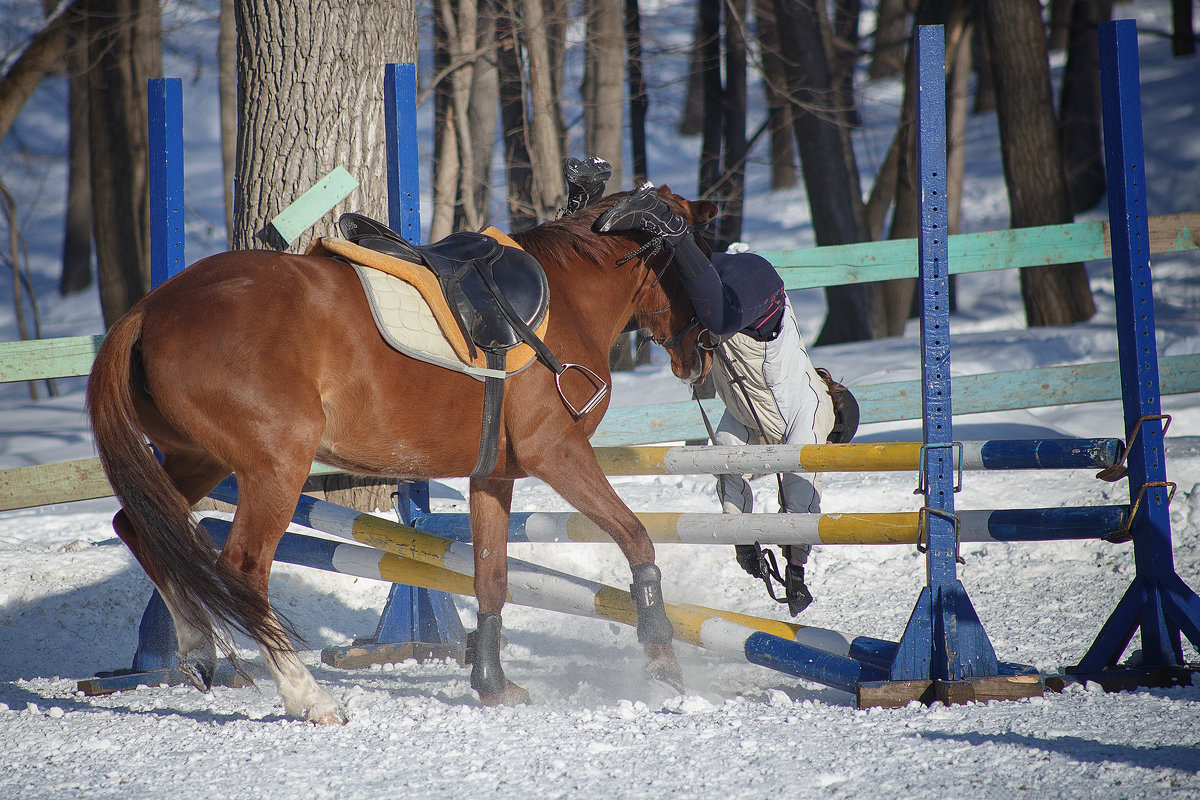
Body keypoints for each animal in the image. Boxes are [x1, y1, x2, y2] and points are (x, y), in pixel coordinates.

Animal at [88, 188, 715, 724]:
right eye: (701, 255)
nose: (703, 355)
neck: (567, 295)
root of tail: (148, 310)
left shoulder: (494, 474)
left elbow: (491, 576)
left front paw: (492, 685)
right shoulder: (556, 453)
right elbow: (636, 538)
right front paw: (662, 662)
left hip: (200, 459)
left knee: (142, 527)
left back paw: (197, 648)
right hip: (276, 467)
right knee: (242, 570)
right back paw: (309, 698)